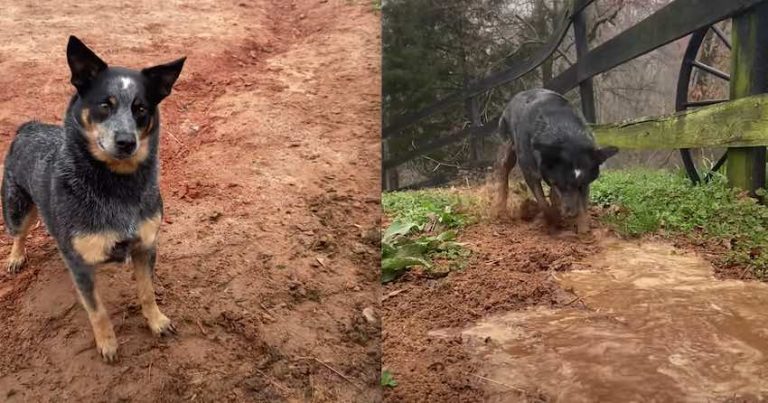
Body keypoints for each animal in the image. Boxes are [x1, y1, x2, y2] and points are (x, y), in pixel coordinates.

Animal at [1, 35, 185, 362]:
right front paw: (108, 344)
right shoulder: (82, 266)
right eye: (104, 105)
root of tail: (28, 126)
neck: (117, 186)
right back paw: (16, 257)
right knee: (19, 233)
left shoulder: (146, 245)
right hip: (16, 207)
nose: (126, 142)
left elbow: (147, 292)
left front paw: (157, 321)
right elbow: (97, 310)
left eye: (140, 108)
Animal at [498, 88, 616, 234]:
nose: (571, 214)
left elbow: (582, 204)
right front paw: (554, 221)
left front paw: (583, 231)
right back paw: (501, 204)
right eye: (562, 184)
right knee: (505, 164)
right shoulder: (530, 171)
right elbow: (542, 201)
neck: (564, 132)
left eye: (580, 185)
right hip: (509, 141)